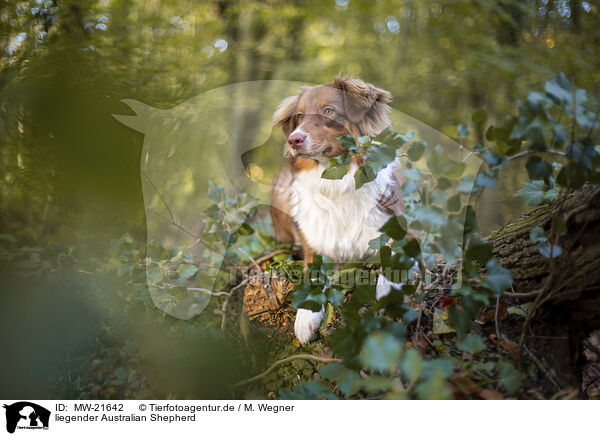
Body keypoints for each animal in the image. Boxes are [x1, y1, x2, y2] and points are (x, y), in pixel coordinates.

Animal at [270, 77, 404, 344]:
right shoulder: (316, 243)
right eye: (300, 116)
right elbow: (313, 274)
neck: (336, 181)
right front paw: (306, 317)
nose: (293, 140)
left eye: (329, 111)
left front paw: (386, 295)